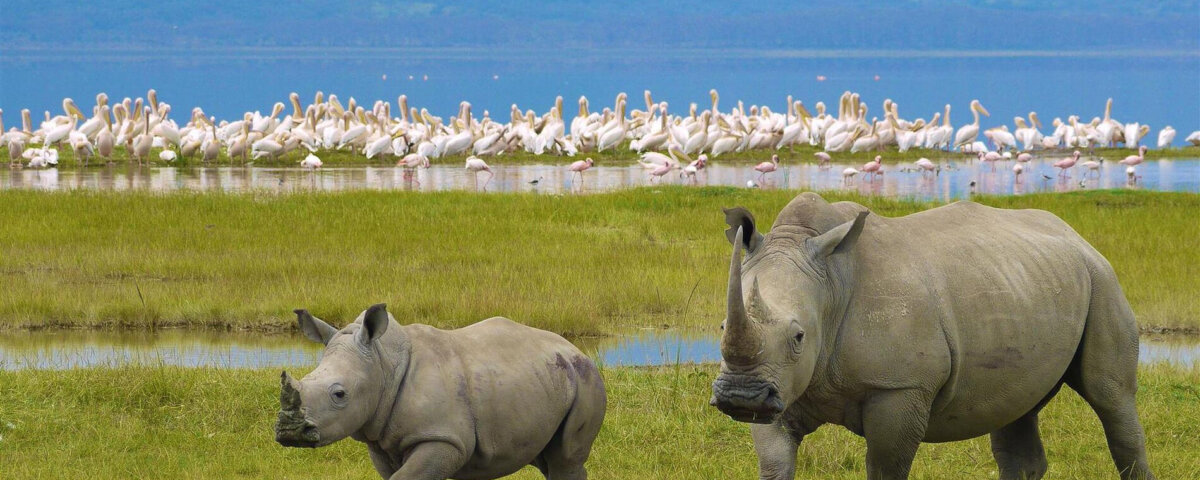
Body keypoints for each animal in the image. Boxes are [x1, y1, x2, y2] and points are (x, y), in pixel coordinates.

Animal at [275, 304, 606, 480]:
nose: (289, 432)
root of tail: (576, 349)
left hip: (586, 379)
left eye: (339, 394)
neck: (383, 364)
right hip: (548, 379)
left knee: (565, 458)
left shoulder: (443, 438)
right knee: (547, 457)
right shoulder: (380, 439)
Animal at [709, 192, 1154, 480]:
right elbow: (774, 463)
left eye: (799, 336)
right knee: (1018, 406)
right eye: (722, 327)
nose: (740, 397)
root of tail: (1077, 235)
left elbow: (885, 468)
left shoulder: (900, 387)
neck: (831, 283)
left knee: (1110, 396)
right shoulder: (780, 386)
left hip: (1102, 280)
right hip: (1027, 282)